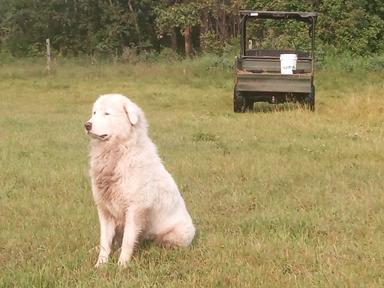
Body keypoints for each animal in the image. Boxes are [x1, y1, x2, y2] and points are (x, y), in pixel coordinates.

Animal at [86, 93, 196, 266]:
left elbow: (127, 241)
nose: (87, 125)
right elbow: (105, 241)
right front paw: (100, 265)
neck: (119, 152)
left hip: (177, 233)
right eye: (94, 113)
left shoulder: (134, 209)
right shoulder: (105, 210)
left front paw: (122, 265)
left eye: (107, 114)